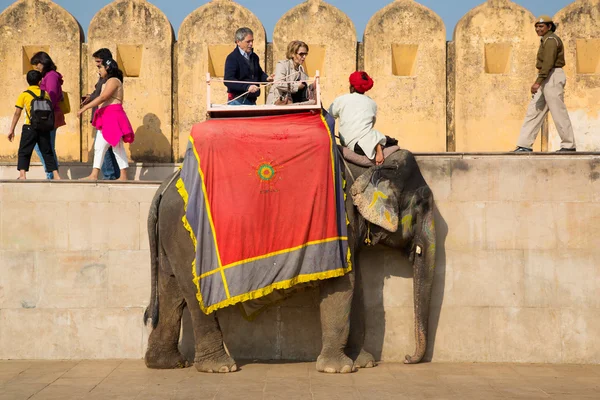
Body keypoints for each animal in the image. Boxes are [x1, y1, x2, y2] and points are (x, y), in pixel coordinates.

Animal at [145, 148, 436, 374]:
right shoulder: (339, 222)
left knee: (171, 290)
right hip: (187, 235)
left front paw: (363, 363)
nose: (407, 358)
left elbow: (357, 286)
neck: (365, 166)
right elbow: (343, 284)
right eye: (422, 204)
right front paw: (339, 369)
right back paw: (221, 367)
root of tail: (165, 185)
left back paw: (166, 364)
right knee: (193, 294)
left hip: (171, 235)